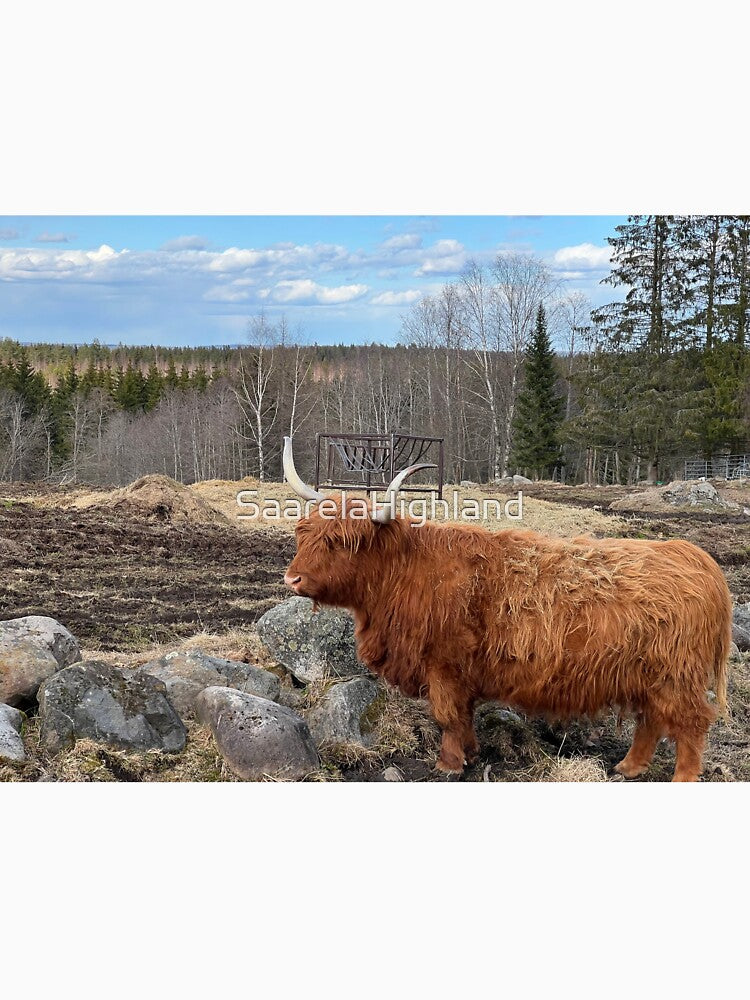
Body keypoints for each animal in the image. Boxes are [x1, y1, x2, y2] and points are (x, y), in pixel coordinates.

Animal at [281, 437, 731, 781]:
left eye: (341, 542)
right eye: (304, 534)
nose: (292, 579)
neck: (408, 571)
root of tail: (695, 557)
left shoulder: (443, 666)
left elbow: (447, 716)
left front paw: (448, 764)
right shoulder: (461, 673)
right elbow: (463, 716)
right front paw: (471, 753)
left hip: (676, 675)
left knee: (691, 722)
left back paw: (681, 778)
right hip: (648, 676)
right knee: (651, 720)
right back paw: (628, 766)